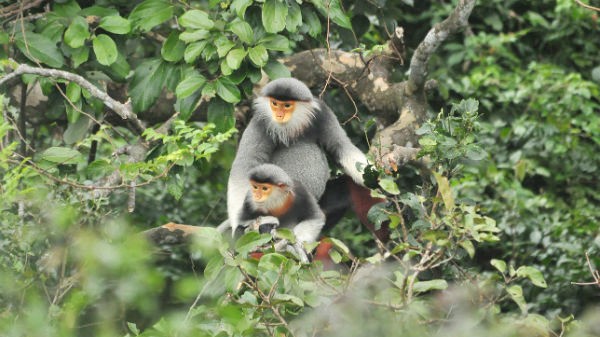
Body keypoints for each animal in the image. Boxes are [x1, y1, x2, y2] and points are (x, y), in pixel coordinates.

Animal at [227, 77, 372, 235]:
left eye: (287, 105)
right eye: (274, 103)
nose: (279, 115)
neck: (291, 128)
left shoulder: (323, 114)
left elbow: (341, 147)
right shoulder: (260, 121)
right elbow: (244, 165)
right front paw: (239, 224)